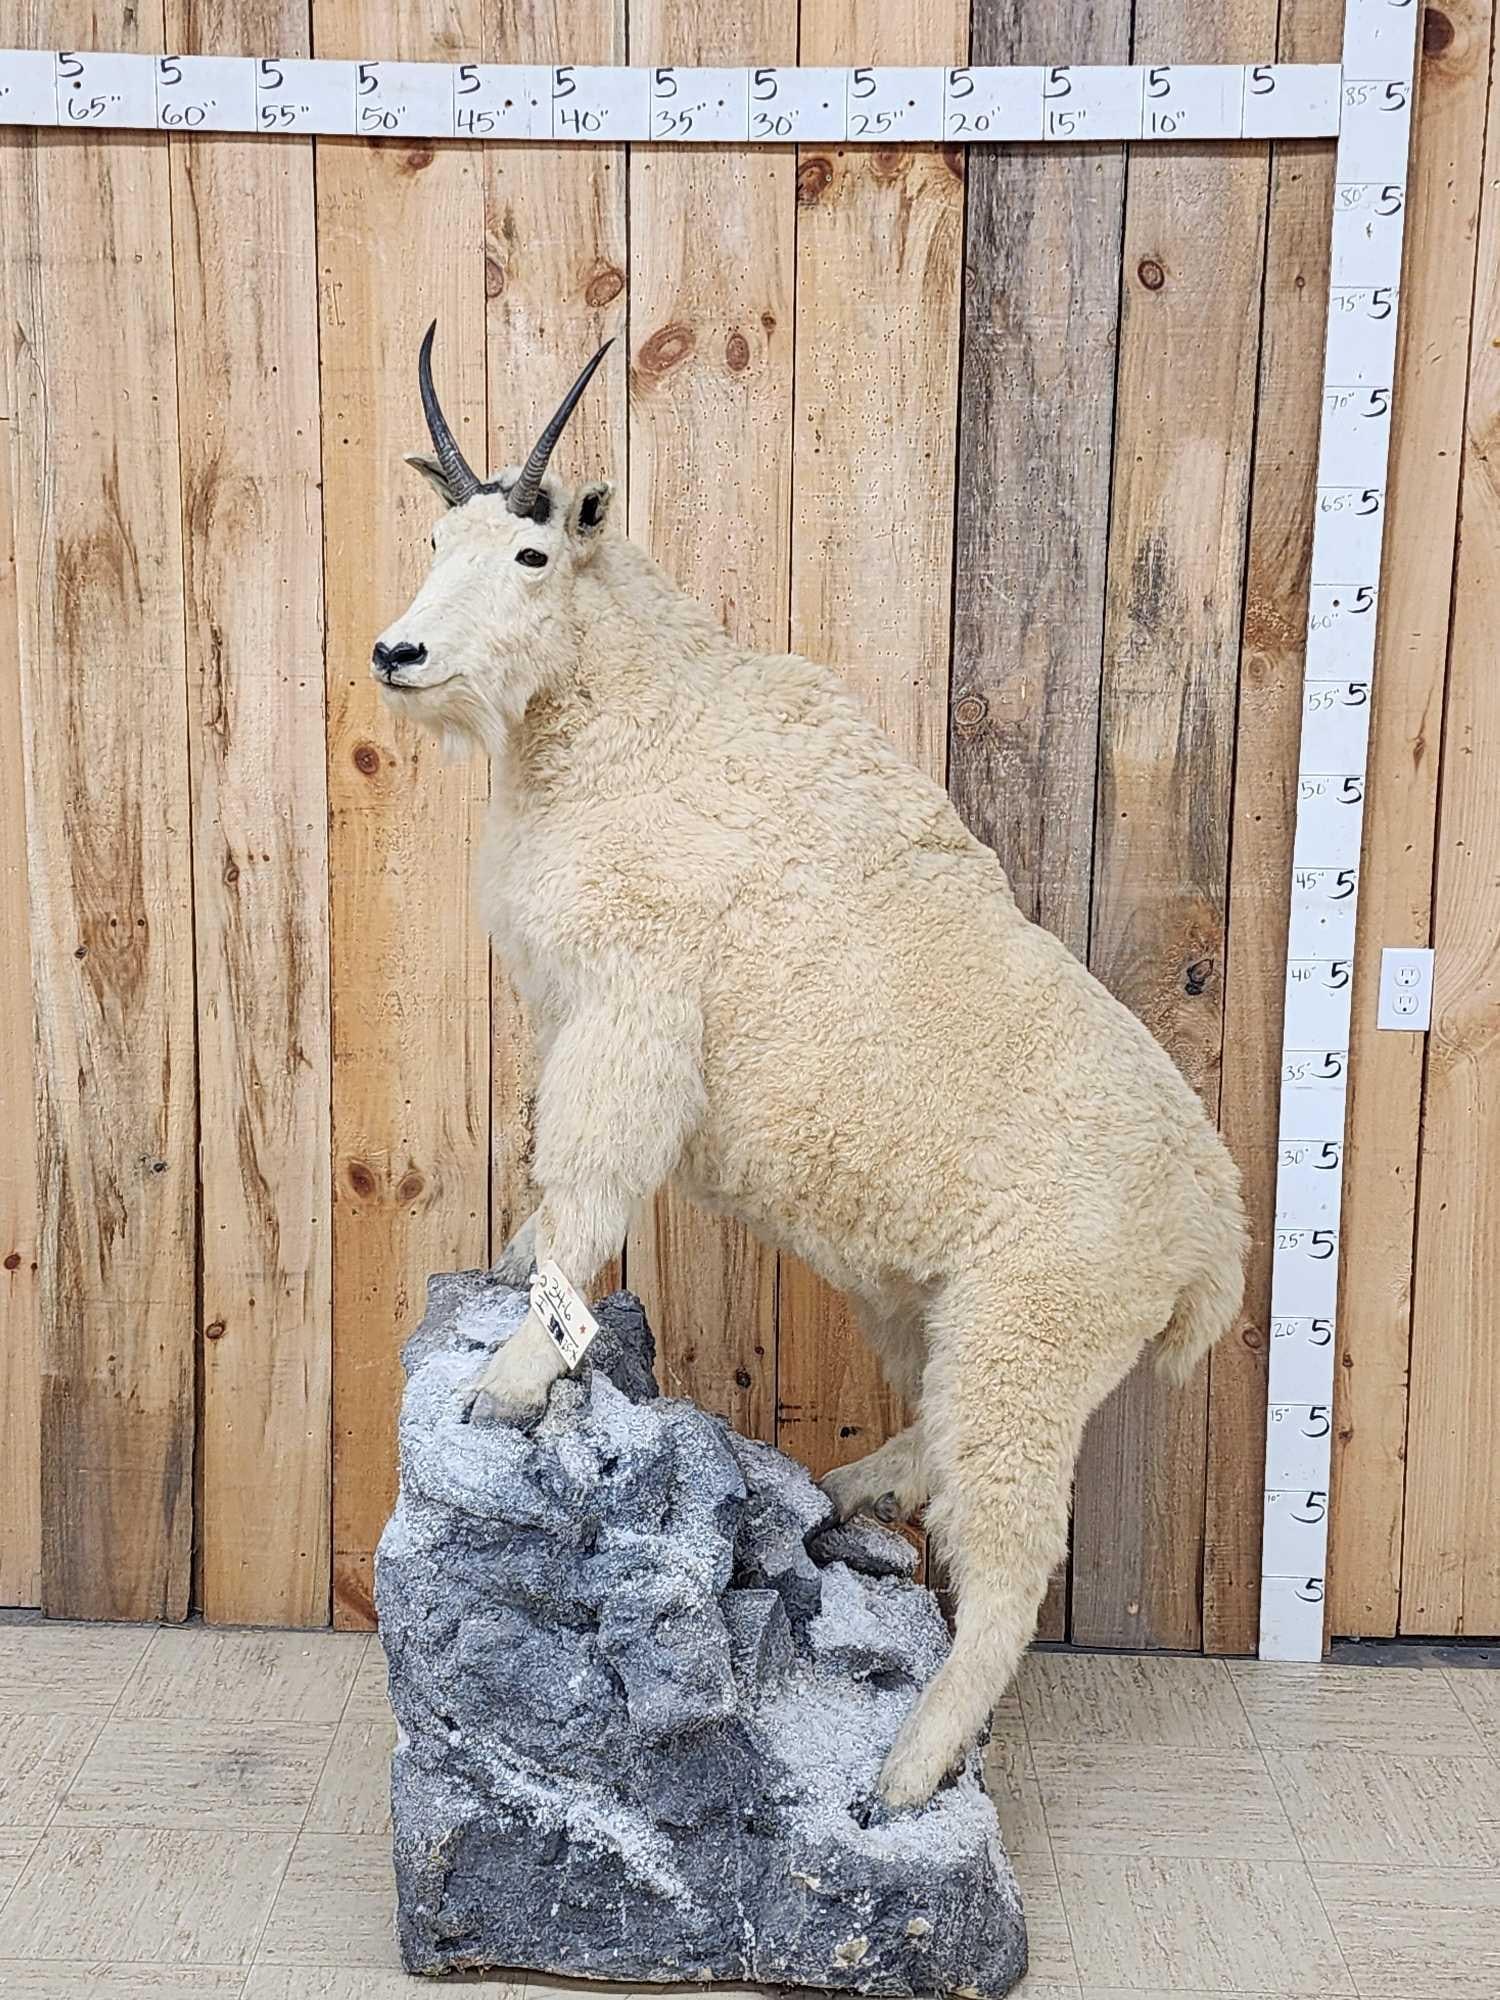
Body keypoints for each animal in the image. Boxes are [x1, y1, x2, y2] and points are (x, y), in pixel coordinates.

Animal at [372, 327, 1249, 1810]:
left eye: (532, 554)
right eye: (438, 535)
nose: (400, 651)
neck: (622, 718)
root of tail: (1214, 1239)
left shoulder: (634, 1005)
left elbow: (588, 1177)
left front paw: (510, 1381)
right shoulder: (579, 1010)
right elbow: (552, 1193)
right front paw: (499, 1278)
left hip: (1031, 1339)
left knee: (1012, 1555)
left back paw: (902, 1771)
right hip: (942, 1311)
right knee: (941, 1443)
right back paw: (851, 1493)